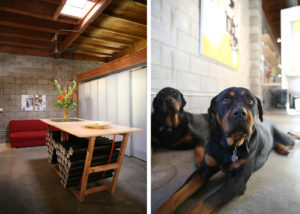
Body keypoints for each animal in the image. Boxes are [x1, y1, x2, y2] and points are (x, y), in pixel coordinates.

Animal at [155, 87, 296, 214]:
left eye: (250, 101)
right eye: (225, 99)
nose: (240, 112)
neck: (228, 146)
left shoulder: (238, 180)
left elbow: (207, 202)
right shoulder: (203, 169)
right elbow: (178, 194)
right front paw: (161, 209)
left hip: (286, 139)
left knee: (290, 138)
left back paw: (287, 142)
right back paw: (282, 148)